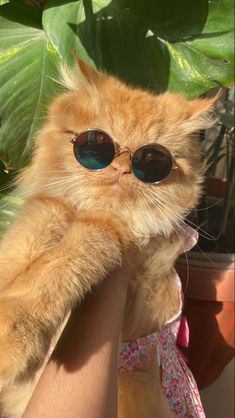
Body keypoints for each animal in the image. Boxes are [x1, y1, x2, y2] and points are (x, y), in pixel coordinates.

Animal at [0, 59, 215, 418]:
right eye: (96, 144)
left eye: (153, 159)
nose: (121, 168)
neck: (85, 209)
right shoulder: (51, 204)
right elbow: (33, 230)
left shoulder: (116, 237)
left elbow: (67, 257)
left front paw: (11, 335)